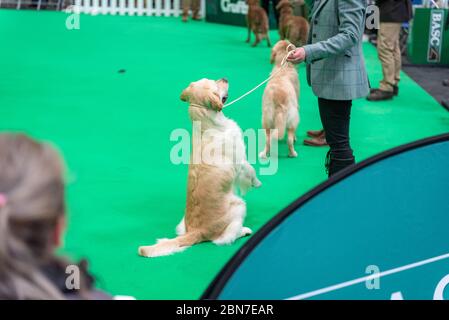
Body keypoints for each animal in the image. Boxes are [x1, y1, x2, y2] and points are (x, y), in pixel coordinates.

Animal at [138, 79, 260, 258]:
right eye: (216, 85)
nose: (224, 78)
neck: (207, 126)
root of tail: (196, 232)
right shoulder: (240, 161)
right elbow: (250, 170)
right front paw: (256, 183)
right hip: (239, 205)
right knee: (224, 238)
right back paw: (244, 230)